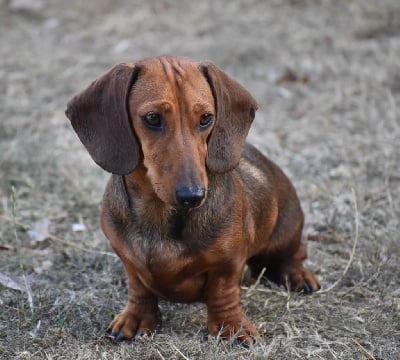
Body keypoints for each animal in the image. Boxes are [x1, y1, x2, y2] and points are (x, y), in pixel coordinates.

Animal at [65, 55, 318, 346]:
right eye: (153, 118)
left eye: (206, 118)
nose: (192, 196)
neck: (159, 214)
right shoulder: (127, 259)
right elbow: (138, 287)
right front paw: (136, 316)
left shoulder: (229, 263)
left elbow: (223, 292)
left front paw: (231, 326)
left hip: (287, 230)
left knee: (294, 254)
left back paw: (299, 275)